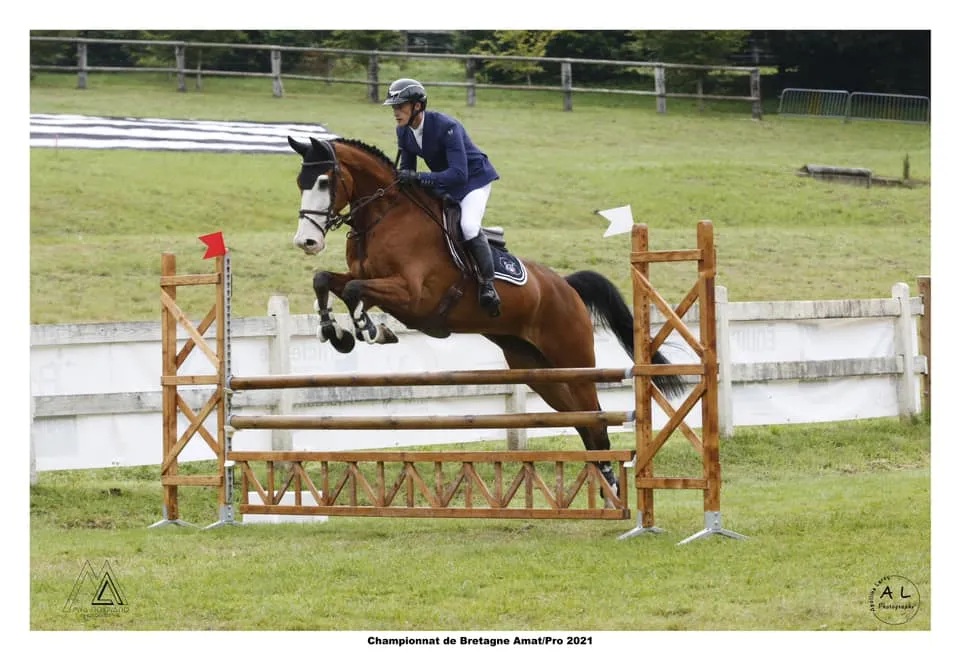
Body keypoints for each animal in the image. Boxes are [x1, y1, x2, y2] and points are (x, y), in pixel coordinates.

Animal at [284, 135, 684, 500]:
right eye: (300, 183)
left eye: (324, 181)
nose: (306, 242)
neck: (384, 216)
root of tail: (566, 286)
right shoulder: (367, 280)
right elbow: (326, 280)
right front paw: (337, 332)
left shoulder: (413, 296)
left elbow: (355, 291)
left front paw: (370, 329)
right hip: (541, 372)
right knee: (581, 420)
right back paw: (603, 481)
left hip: (574, 360)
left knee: (595, 416)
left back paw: (611, 485)